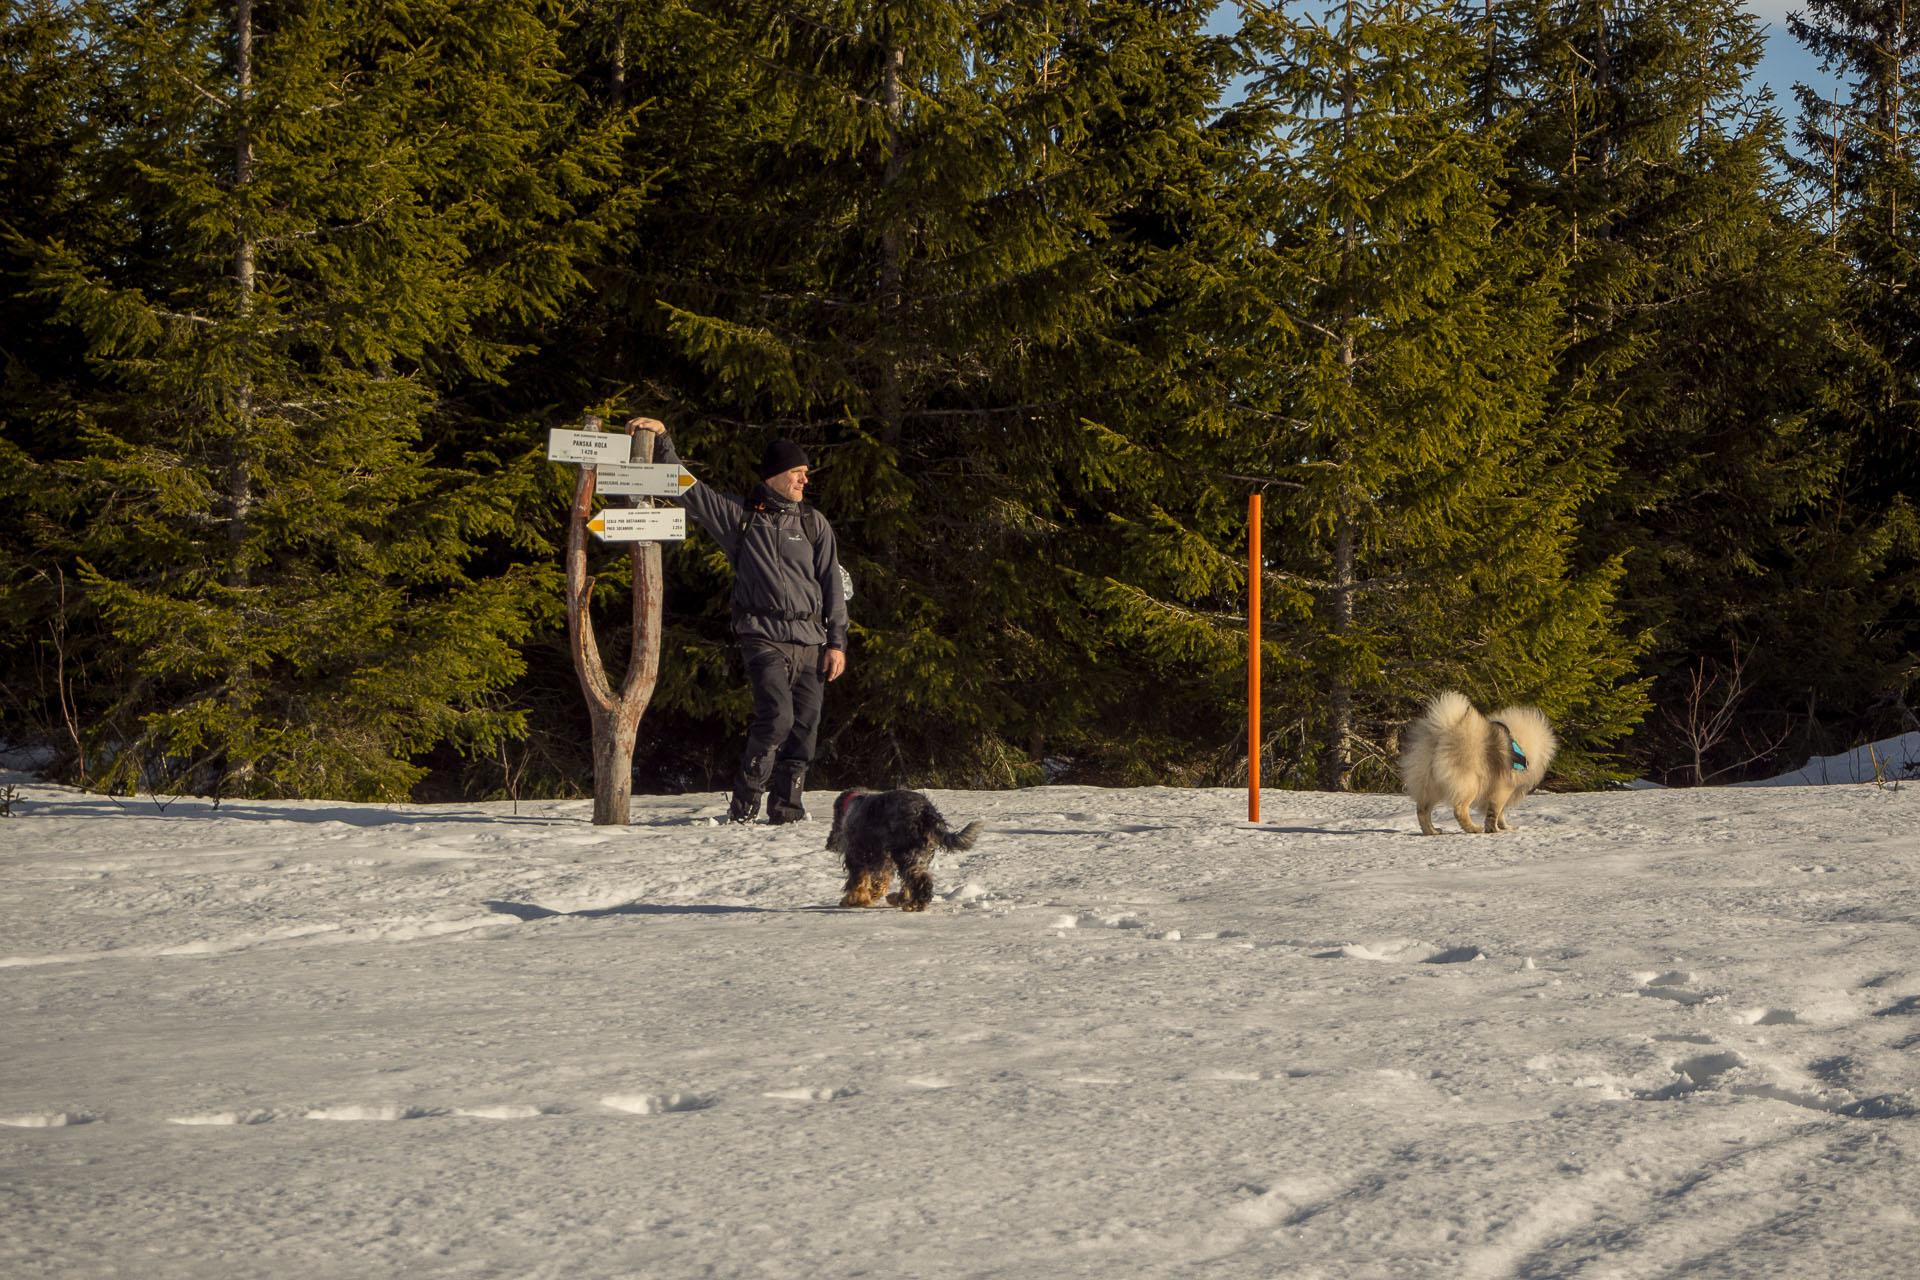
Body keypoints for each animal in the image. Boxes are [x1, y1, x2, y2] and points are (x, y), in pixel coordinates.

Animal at [825, 790, 983, 909]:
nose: (829, 844)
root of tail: (926, 813)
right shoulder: (883, 859)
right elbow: (880, 881)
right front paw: (871, 895)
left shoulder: (857, 854)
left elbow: (858, 881)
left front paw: (852, 900)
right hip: (917, 855)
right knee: (911, 881)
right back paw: (899, 899)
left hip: (906, 854)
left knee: (920, 881)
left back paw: (914, 905)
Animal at [1397, 694, 1559, 836]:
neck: (1518, 743)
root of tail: (1442, 735)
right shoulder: (1503, 789)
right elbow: (1495, 812)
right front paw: (1494, 829)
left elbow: (1500, 814)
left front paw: (1505, 827)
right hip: (1470, 784)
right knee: (1459, 809)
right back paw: (1473, 828)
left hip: (1429, 785)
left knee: (1422, 811)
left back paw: (1432, 831)